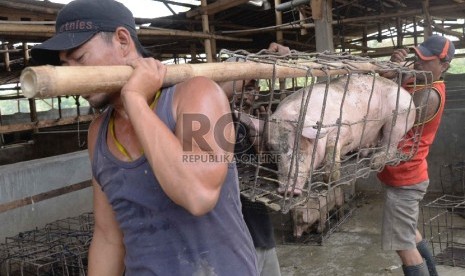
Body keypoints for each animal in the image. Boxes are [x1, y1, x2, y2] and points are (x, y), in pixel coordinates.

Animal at [223, 49, 434, 222]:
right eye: (273, 150)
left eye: (300, 145)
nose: (286, 190)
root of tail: (403, 91)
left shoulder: (344, 127)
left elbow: (334, 149)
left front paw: (330, 178)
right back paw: (364, 153)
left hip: (400, 115)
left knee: (391, 141)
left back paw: (375, 161)